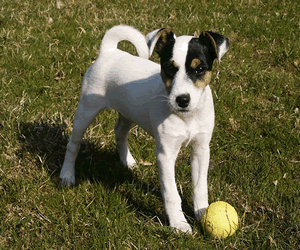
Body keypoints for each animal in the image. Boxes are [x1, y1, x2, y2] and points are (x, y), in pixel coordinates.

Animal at [60, 24, 230, 232]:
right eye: (168, 68)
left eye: (200, 69)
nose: (182, 100)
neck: (186, 117)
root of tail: (109, 51)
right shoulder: (166, 154)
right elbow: (171, 193)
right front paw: (179, 224)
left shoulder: (201, 149)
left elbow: (200, 187)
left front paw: (202, 213)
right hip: (86, 109)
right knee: (73, 144)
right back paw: (67, 175)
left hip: (129, 112)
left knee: (119, 132)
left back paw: (127, 161)